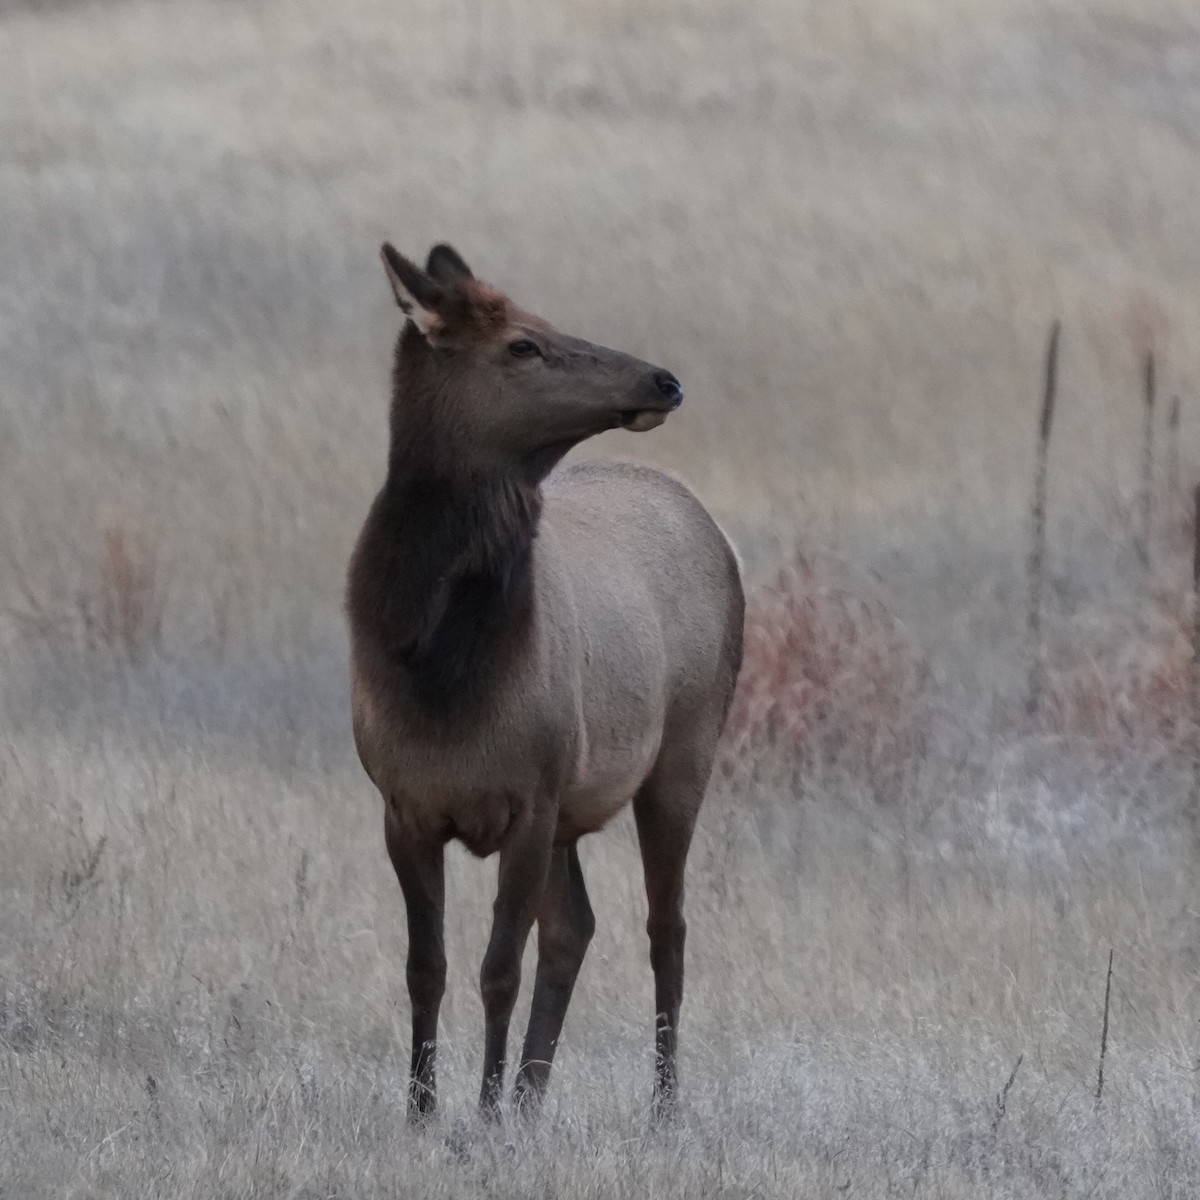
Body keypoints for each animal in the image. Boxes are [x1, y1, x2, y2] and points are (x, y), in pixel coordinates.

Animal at [346, 241, 744, 1123]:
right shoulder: (403, 805)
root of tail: (705, 517)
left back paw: (661, 1106)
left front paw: (484, 1113)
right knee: (577, 927)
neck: (443, 676)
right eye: (523, 344)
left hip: (682, 754)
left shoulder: (529, 797)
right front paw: (422, 1112)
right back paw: (535, 1099)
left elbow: (499, 967)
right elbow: (425, 967)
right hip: (574, 804)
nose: (662, 380)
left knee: (666, 927)